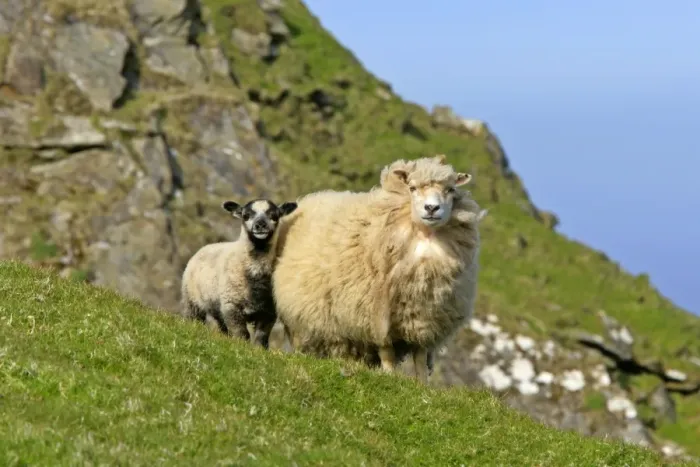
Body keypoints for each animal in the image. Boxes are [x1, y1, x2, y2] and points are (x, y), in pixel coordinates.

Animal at [181, 198, 297, 348]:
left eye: (274, 215)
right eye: (246, 215)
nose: (260, 225)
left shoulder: (268, 311)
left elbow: (261, 336)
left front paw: (259, 349)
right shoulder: (231, 305)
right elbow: (241, 333)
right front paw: (240, 345)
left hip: (217, 307)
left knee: (222, 326)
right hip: (191, 298)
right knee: (194, 317)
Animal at [273, 154, 487, 382]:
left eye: (450, 190)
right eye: (412, 188)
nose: (431, 208)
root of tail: (310, 199)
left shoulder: (424, 319)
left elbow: (420, 357)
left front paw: (422, 383)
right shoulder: (376, 314)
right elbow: (386, 351)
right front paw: (390, 377)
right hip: (299, 318)